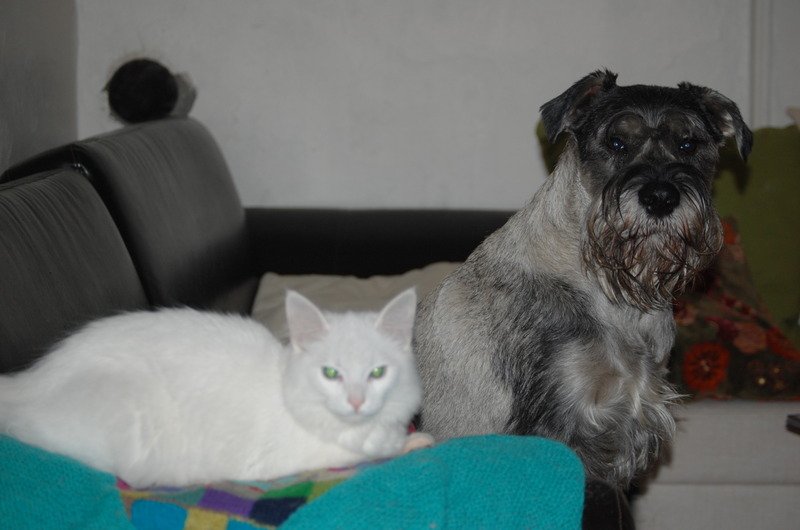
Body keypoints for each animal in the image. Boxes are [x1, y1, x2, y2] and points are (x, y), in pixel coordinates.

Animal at [0, 288, 431, 488]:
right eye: (330, 373)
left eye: (377, 373)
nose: (357, 401)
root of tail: (26, 383)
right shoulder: (284, 458)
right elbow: (372, 449)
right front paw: (412, 442)